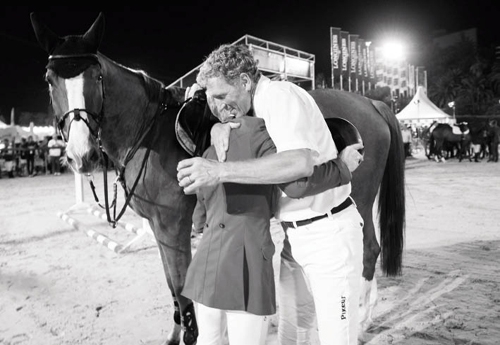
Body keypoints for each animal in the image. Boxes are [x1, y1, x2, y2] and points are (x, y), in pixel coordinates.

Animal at [30, 12, 406, 342]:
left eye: (96, 77)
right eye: (49, 80)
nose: (82, 155)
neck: (150, 132)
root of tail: (371, 103)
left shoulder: (172, 228)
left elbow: (181, 289)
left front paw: (190, 334)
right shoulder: (158, 227)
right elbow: (173, 288)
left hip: (361, 197)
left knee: (368, 250)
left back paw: (360, 322)